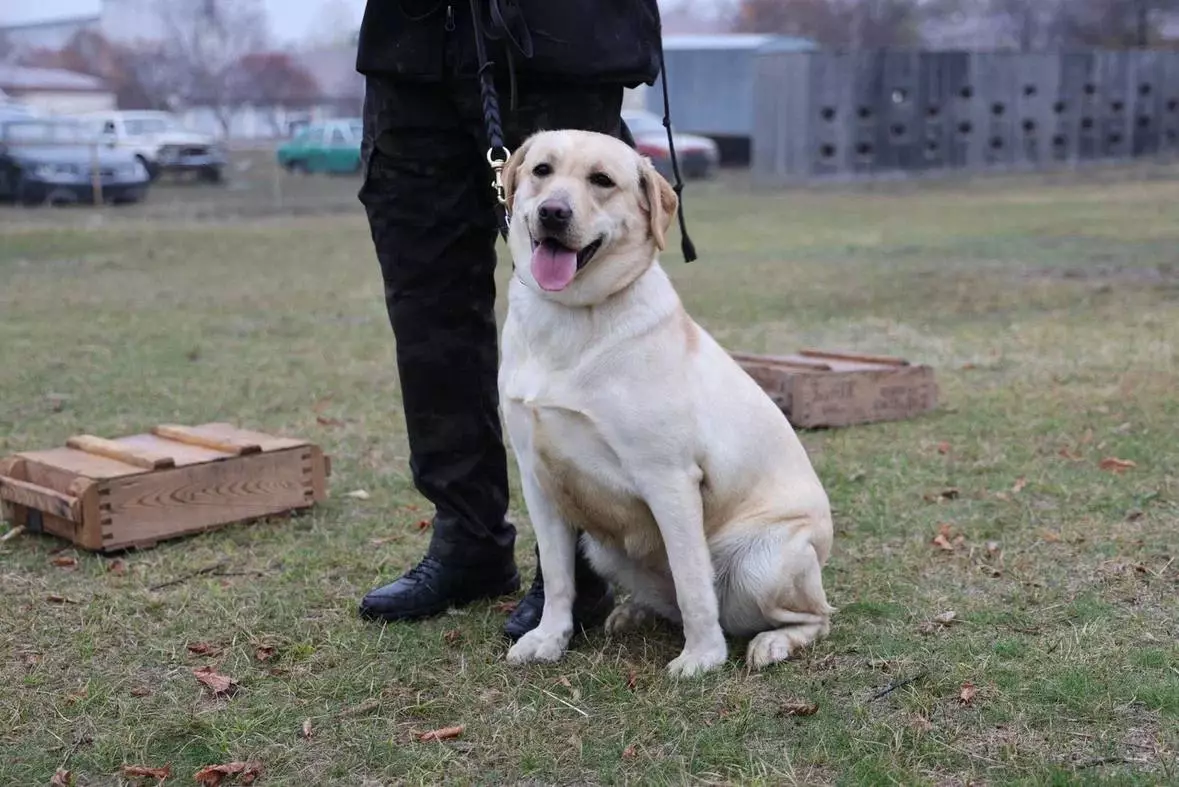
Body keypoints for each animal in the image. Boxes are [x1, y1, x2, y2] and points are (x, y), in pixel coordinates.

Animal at [497, 129, 839, 678]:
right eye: (542, 171)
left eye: (602, 180)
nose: (552, 212)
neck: (572, 316)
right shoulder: (538, 478)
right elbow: (557, 577)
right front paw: (549, 639)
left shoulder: (669, 479)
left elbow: (691, 579)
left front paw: (702, 657)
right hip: (603, 547)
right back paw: (634, 612)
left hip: (762, 563)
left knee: (815, 615)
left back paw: (772, 642)